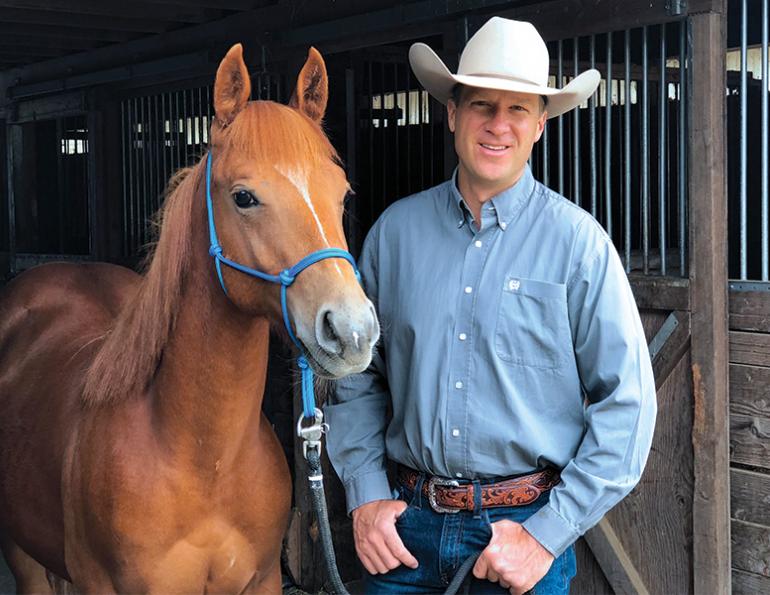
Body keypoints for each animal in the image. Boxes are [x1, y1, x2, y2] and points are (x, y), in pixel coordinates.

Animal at [0, 44, 379, 594]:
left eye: (344, 194)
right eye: (243, 197)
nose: (352, 331)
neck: (205, 463)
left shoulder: (262, 580)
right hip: (21, 553)